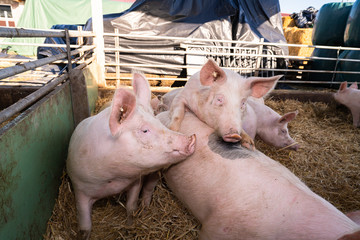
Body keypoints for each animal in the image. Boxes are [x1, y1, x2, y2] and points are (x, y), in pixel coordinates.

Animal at [67, 73, 197, 240]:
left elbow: (131, 206)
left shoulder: (136, 181)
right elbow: (85, 225)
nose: (192, 138)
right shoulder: (79, 187)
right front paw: (84, 235)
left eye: (156, 119)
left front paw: (129, 226)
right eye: (145, 130)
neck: (112, 179)